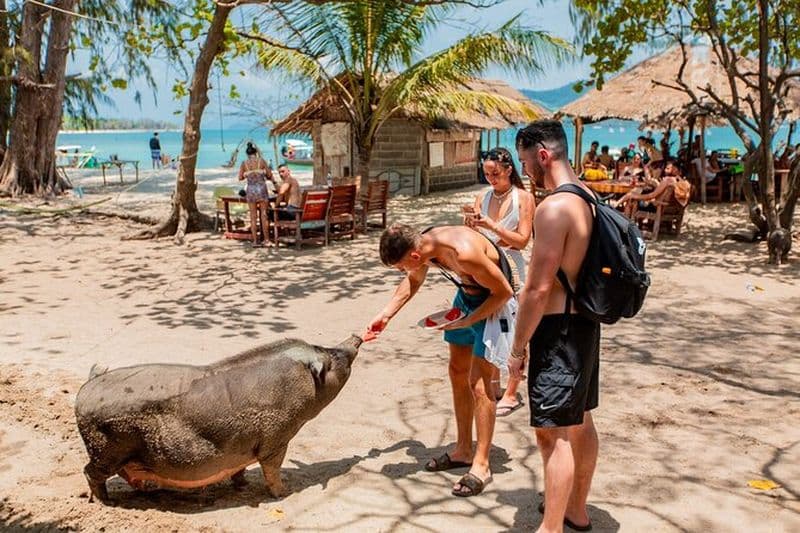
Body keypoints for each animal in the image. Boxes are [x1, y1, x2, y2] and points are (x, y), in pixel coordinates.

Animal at [75, 335, 362, 503]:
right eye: (332, 357)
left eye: (326, 348)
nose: (356, 338)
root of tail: (88, 386)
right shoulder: (276, 438)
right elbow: (272, 469)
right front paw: (284, 493)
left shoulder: (244, 448)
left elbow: (240, 468)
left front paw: (243, 486)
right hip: (107, 451)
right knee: (90, 472)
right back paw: (105, 502)